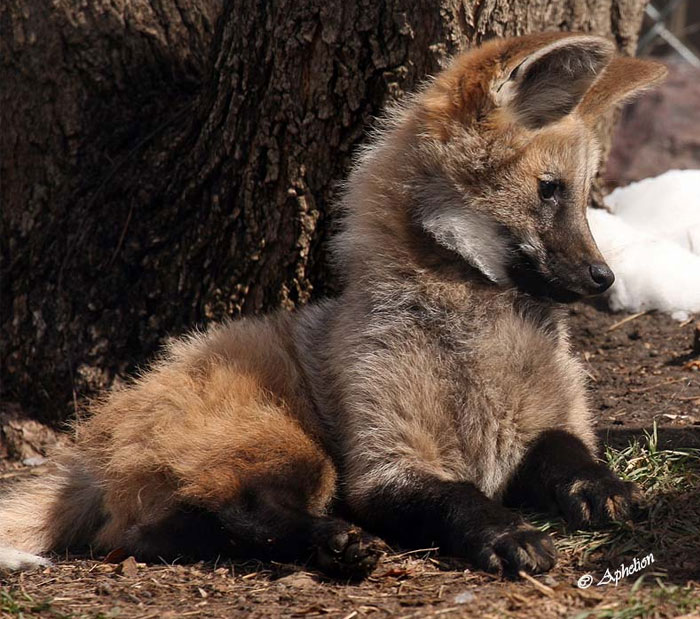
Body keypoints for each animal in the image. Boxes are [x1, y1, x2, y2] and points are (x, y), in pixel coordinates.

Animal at [0, 32, 665, 578]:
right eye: (549, 191)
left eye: (583, 196)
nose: (603, 279)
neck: (474, 325)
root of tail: (92, 443)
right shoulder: (384, 463)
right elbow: (457, 497)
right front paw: (507, 534)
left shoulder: (546, 424)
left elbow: (569, 452)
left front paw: (605, 488)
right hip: (290, 446)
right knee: (242, 510)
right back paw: (338, 542)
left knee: (157, 532)